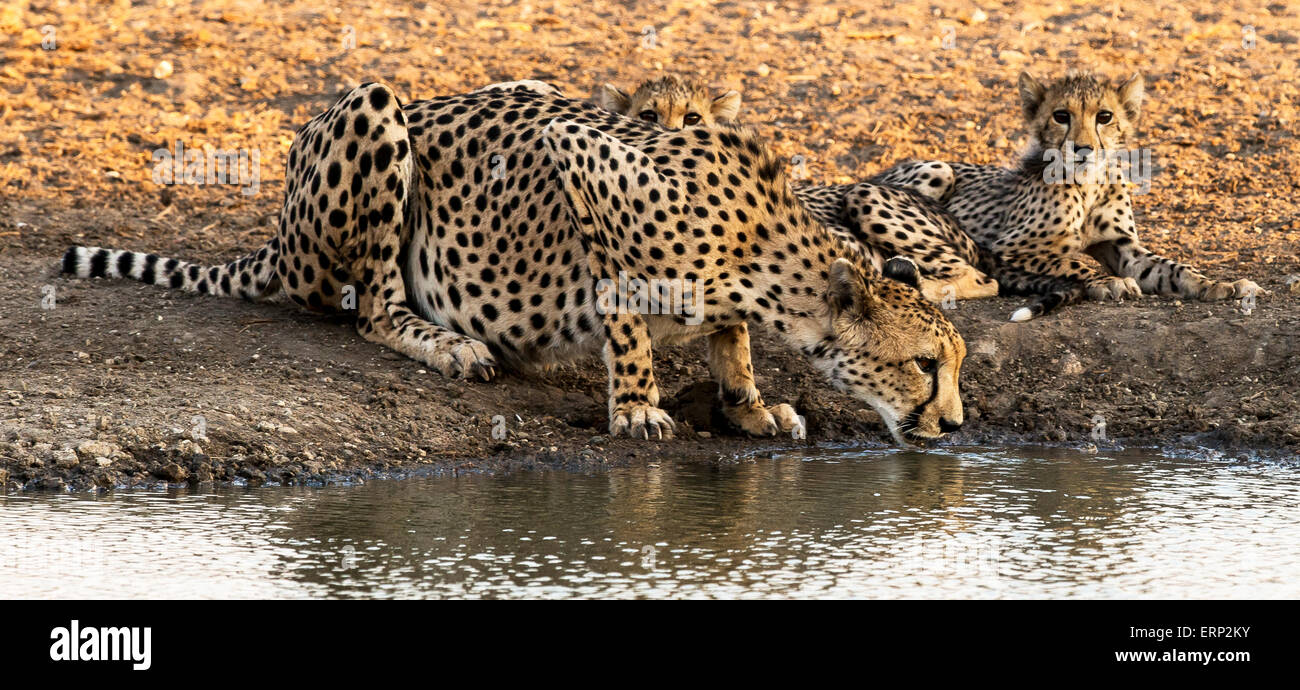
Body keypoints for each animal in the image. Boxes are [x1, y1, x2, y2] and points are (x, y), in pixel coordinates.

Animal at [63, 83, 967, 444]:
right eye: (926, 365)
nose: (956, 426)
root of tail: (280, 237)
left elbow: (731, 338)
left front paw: (747, 405)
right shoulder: (582, 158)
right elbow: (627, 321)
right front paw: (637, 409)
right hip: (375, 111)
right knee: (371, 307)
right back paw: (449, 344)